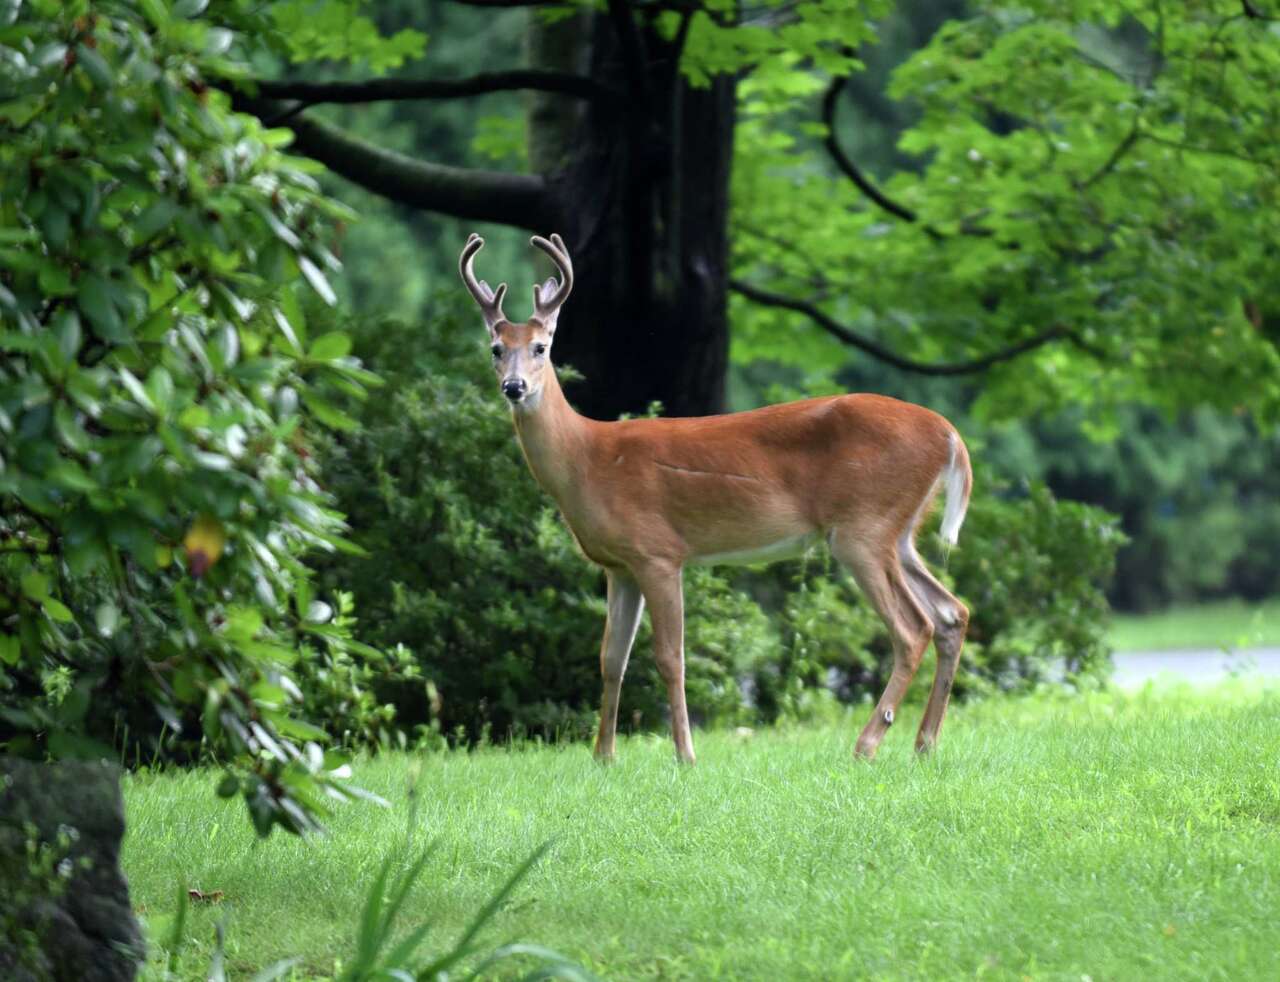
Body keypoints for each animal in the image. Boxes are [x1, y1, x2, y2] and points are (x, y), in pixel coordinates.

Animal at [459, 232, 973, 764]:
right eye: (496, 348)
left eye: (541, 347)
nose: (514, 387)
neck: (589, 459)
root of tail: (949, 433)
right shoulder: (619, 566)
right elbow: (611, 659)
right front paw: (603, 757)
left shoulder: (658, 552)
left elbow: (670, 657)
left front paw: (685, 755)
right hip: (899, 533)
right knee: (952, 614)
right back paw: (924, 743)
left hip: (863, 528)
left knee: (913, 629)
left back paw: (867, 744)